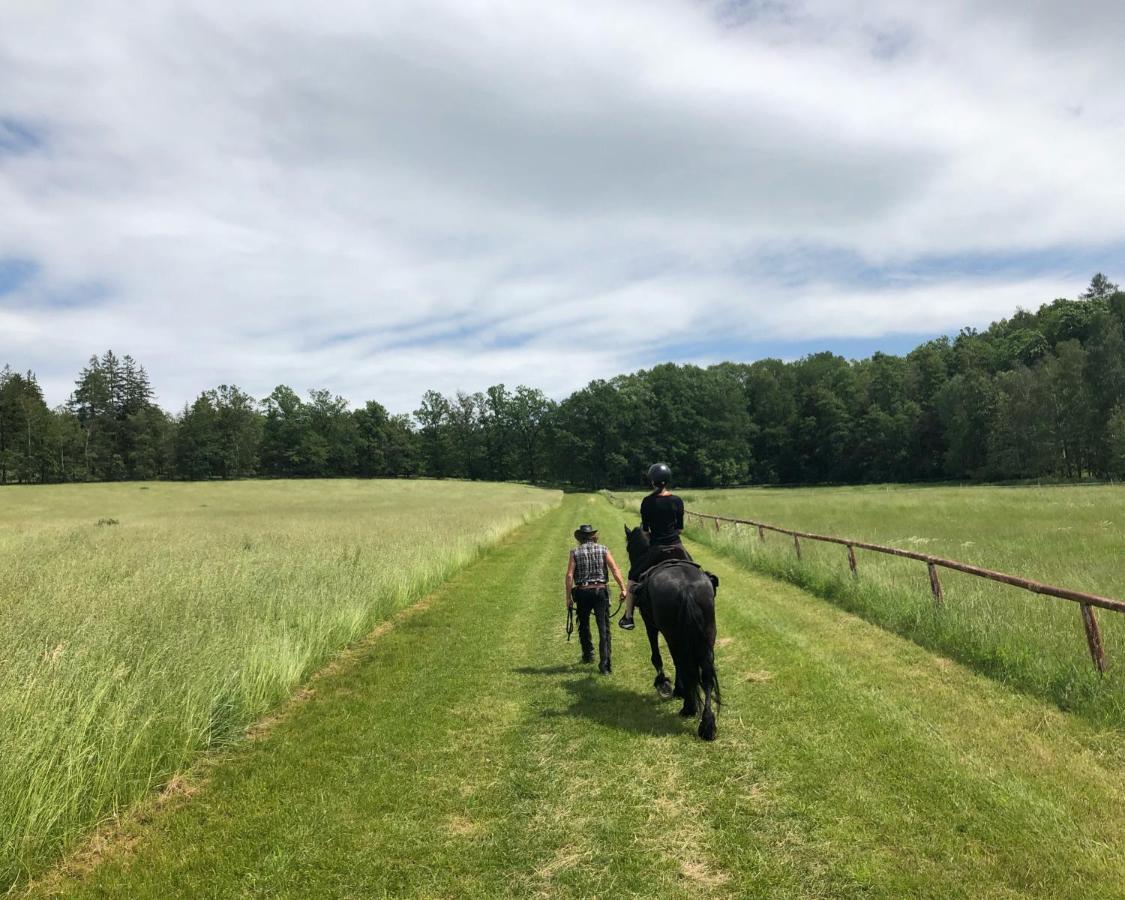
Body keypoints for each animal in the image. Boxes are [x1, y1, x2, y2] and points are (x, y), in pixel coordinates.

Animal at [625, 524, 720, 742]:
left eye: (628, 548)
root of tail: (686, 588)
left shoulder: (650, 625)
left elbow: (657, 656)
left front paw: (665, 684)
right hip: (707, 636)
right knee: (705, 675)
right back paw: (707, 724)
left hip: (674, 636)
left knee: (684, 664)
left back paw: (689, 708)